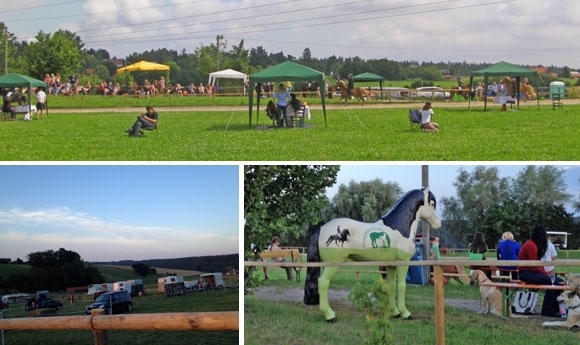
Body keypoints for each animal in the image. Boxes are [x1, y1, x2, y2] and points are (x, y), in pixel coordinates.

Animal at [304, 187, 440, 322]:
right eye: (432, 204)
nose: (439, 224)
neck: (399, 228)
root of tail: (321, 229)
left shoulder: (391, 265)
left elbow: (391, 286)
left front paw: (395, 313)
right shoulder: (403, 263)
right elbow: (401, 286)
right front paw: (405, 313)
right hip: (333, 263)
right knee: (323, 282)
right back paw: (330, 316)